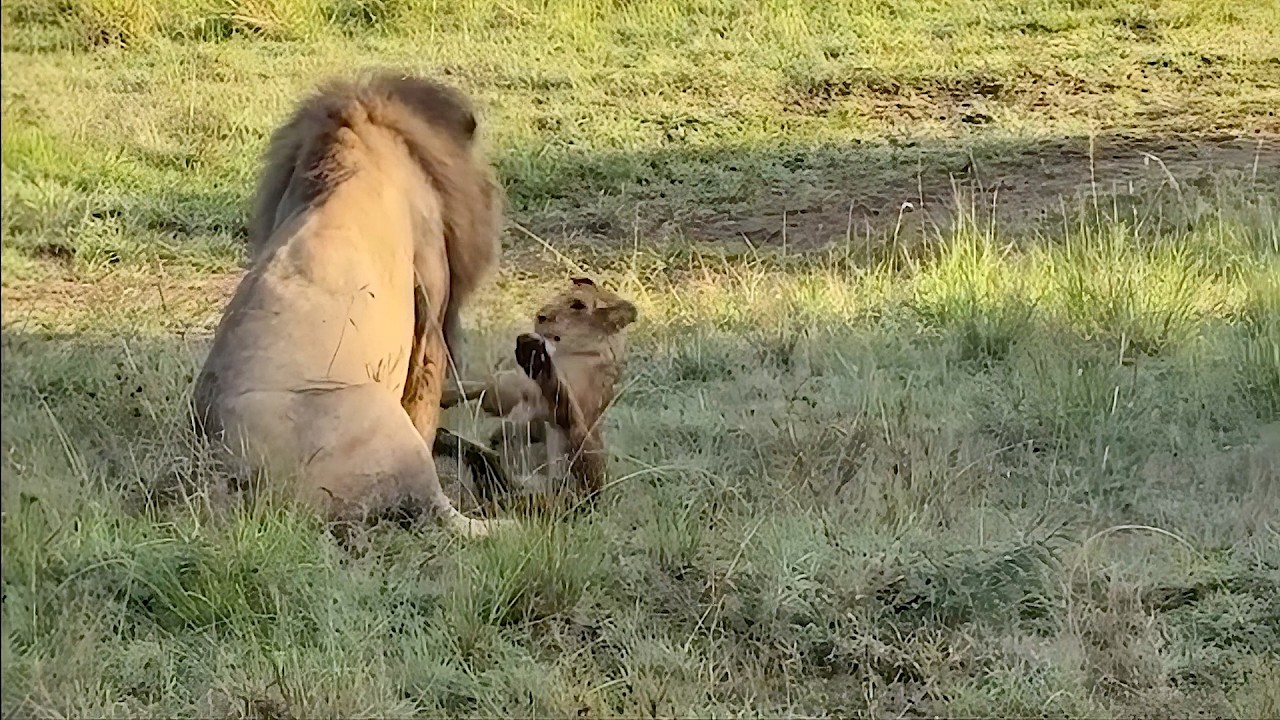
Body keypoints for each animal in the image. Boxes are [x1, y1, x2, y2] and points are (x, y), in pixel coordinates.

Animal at [434, 277, 639, 509]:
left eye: (578, 305)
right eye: (560, 294)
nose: (540, 315)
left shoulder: (579, 409)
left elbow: (563, 405)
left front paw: (533, 354)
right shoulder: (508, 391)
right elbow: (485, 384)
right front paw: (446, 393)